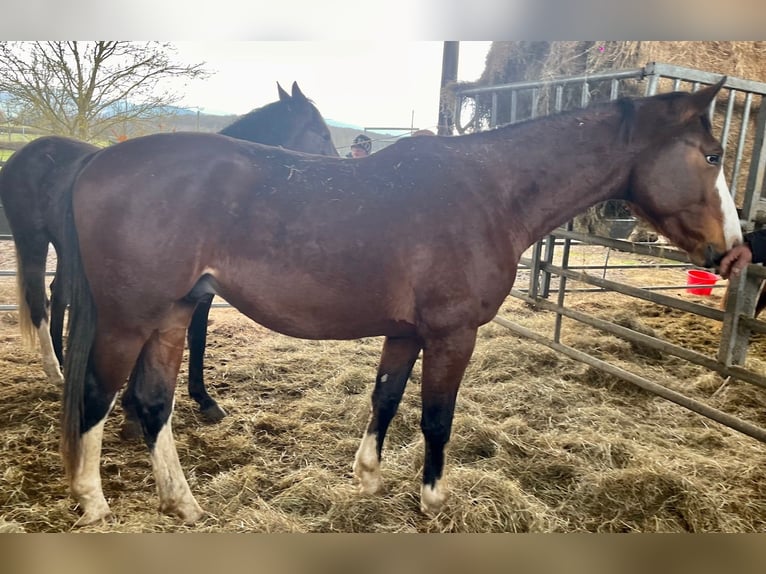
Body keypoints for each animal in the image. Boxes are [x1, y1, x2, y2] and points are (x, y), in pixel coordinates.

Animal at [0, 80, 336, 428]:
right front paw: (150, 405)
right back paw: (55, 370)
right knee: (39, 299)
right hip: (33, 240)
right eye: (321, 133)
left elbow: (190, 336)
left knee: (60, 294)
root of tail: (23, 154)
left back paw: (65, 365)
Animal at [61, 76, 744, 528]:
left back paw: (182, 501)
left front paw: (366, 479)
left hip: (175, 312)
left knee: (153, 401)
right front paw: (434, 499)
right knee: (98, 392)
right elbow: (436, 416)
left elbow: (385, 397)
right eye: (712, 155)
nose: (735, 251)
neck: (489, 190)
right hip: (129, 318)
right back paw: (91, 500)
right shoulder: (452, 333)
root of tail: (94, 165)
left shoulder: (406, 331)